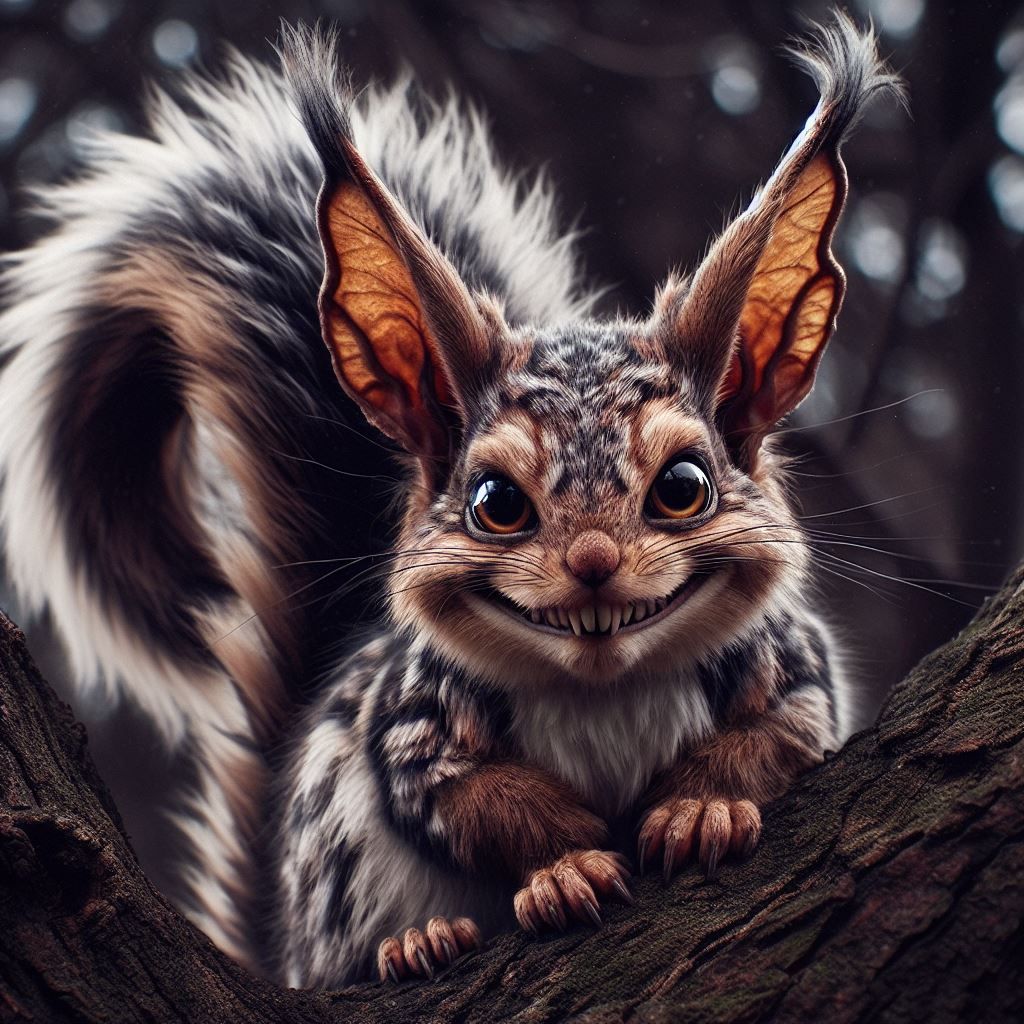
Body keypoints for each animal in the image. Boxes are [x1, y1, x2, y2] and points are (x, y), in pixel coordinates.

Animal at [0, 14, 901, 987]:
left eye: (684, 488)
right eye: (495, 501)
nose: (593, 564)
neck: (605, 687)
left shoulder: (798, 671)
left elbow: (777, 736)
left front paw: (703, 809)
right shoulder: (408, 723)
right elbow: (472, 799)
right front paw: (565, 866)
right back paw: (418, 943)